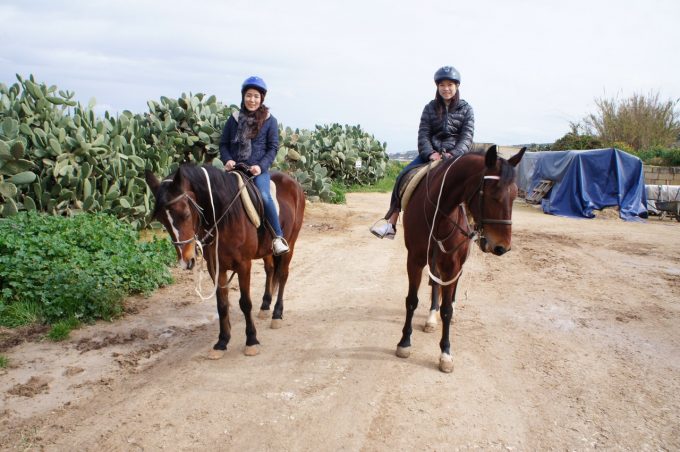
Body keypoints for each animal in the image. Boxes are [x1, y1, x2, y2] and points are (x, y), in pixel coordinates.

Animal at [146, 164, 306, 358]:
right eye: (162, 220)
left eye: (185, 214)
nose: (186, 260)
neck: (224, 217)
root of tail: (294, 183)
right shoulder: (215, 267)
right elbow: (222, 304)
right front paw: (222, 342)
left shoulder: (244, 265)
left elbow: (245, 303)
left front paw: (251, 340)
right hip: (267, 250)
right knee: (270, 270)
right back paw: (265, 306)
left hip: (291, 242)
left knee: (282, 275)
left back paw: (276, 314)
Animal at [396, 147, 524, 372]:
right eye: (493, 194)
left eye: (515, 194)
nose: (502, 247)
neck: (440, 213)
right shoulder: (415, 260)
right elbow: (412, 300)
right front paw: (404, 342)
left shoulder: (453, 266)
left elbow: (447, 310)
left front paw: (445, 353)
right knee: (435, 285)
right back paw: (431, 318)